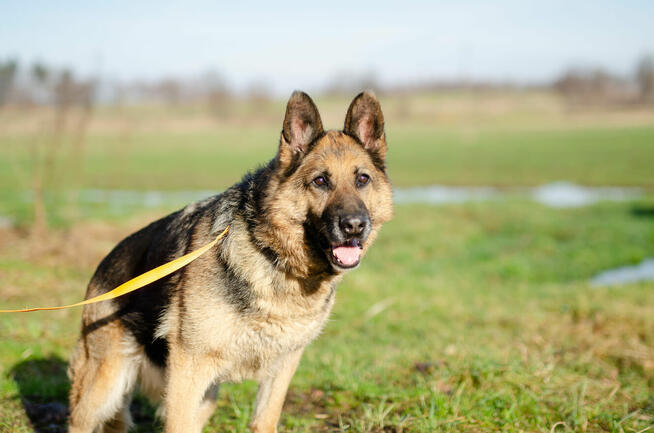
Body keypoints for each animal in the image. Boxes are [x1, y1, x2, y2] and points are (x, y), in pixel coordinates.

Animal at [66, 89, 394, 430]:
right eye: (320, 181)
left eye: (362, 179)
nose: (355, 225)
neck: (271, 255)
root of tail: (105, 263)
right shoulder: (187, 368)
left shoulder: (282, 367)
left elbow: (265, 420)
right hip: (105, 386)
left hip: (204, 396)